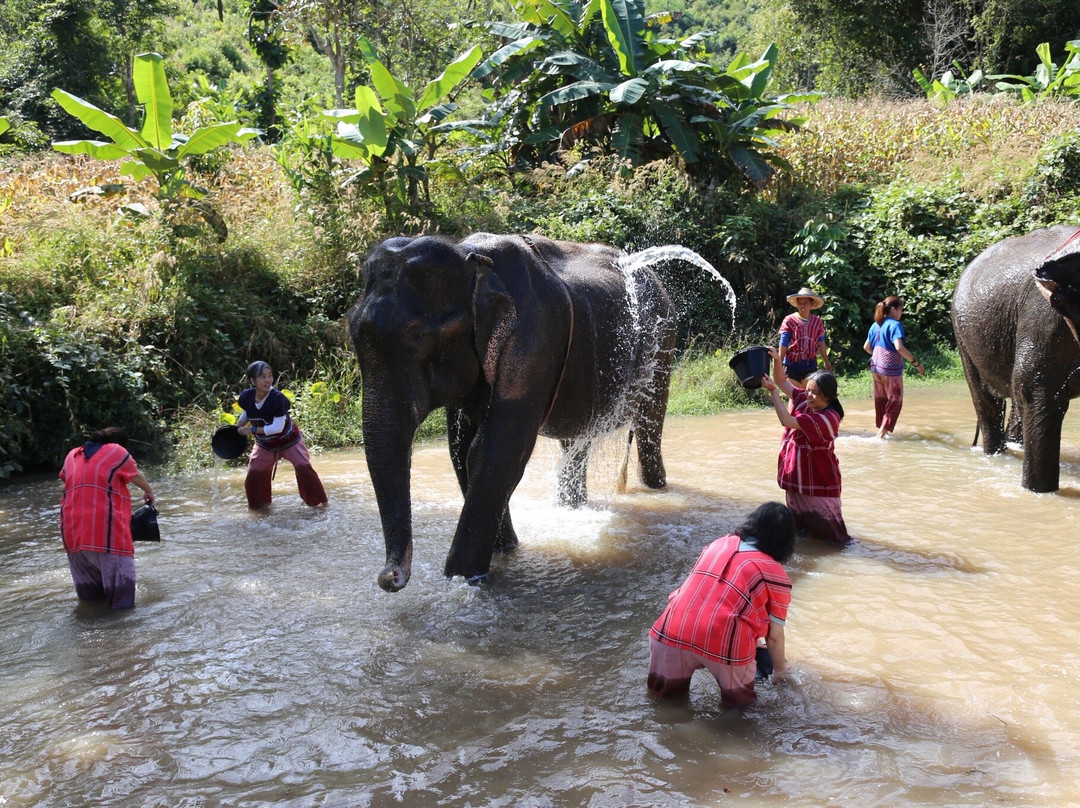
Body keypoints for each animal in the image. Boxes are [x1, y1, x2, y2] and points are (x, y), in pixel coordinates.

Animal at [349, 232, 677, 591]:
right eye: (351, 334)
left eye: (418, 338)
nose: (389, 578)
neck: (472, 260)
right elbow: (462, 451)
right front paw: (506, 550)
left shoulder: (534, 340)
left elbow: (495, 452)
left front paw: (463, 579)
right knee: (576, 443)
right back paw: (571, 509)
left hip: (662, 344)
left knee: (649, 425)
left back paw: (656, 491)